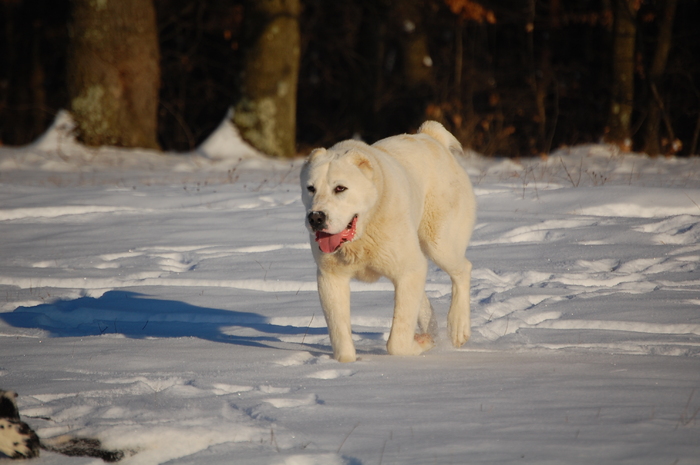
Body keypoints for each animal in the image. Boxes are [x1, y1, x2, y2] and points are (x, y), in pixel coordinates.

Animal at [300, 121, 476, 360]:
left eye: (340, 188)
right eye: (311, 188)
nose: (316, 217)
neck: (363, 233)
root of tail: (431, 137)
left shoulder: (408, 268)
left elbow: (397, 342)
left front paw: (422, 344)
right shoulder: (331, 278)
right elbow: (341, 340)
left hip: (440, 243)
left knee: (462, 270)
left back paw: (458, 327)